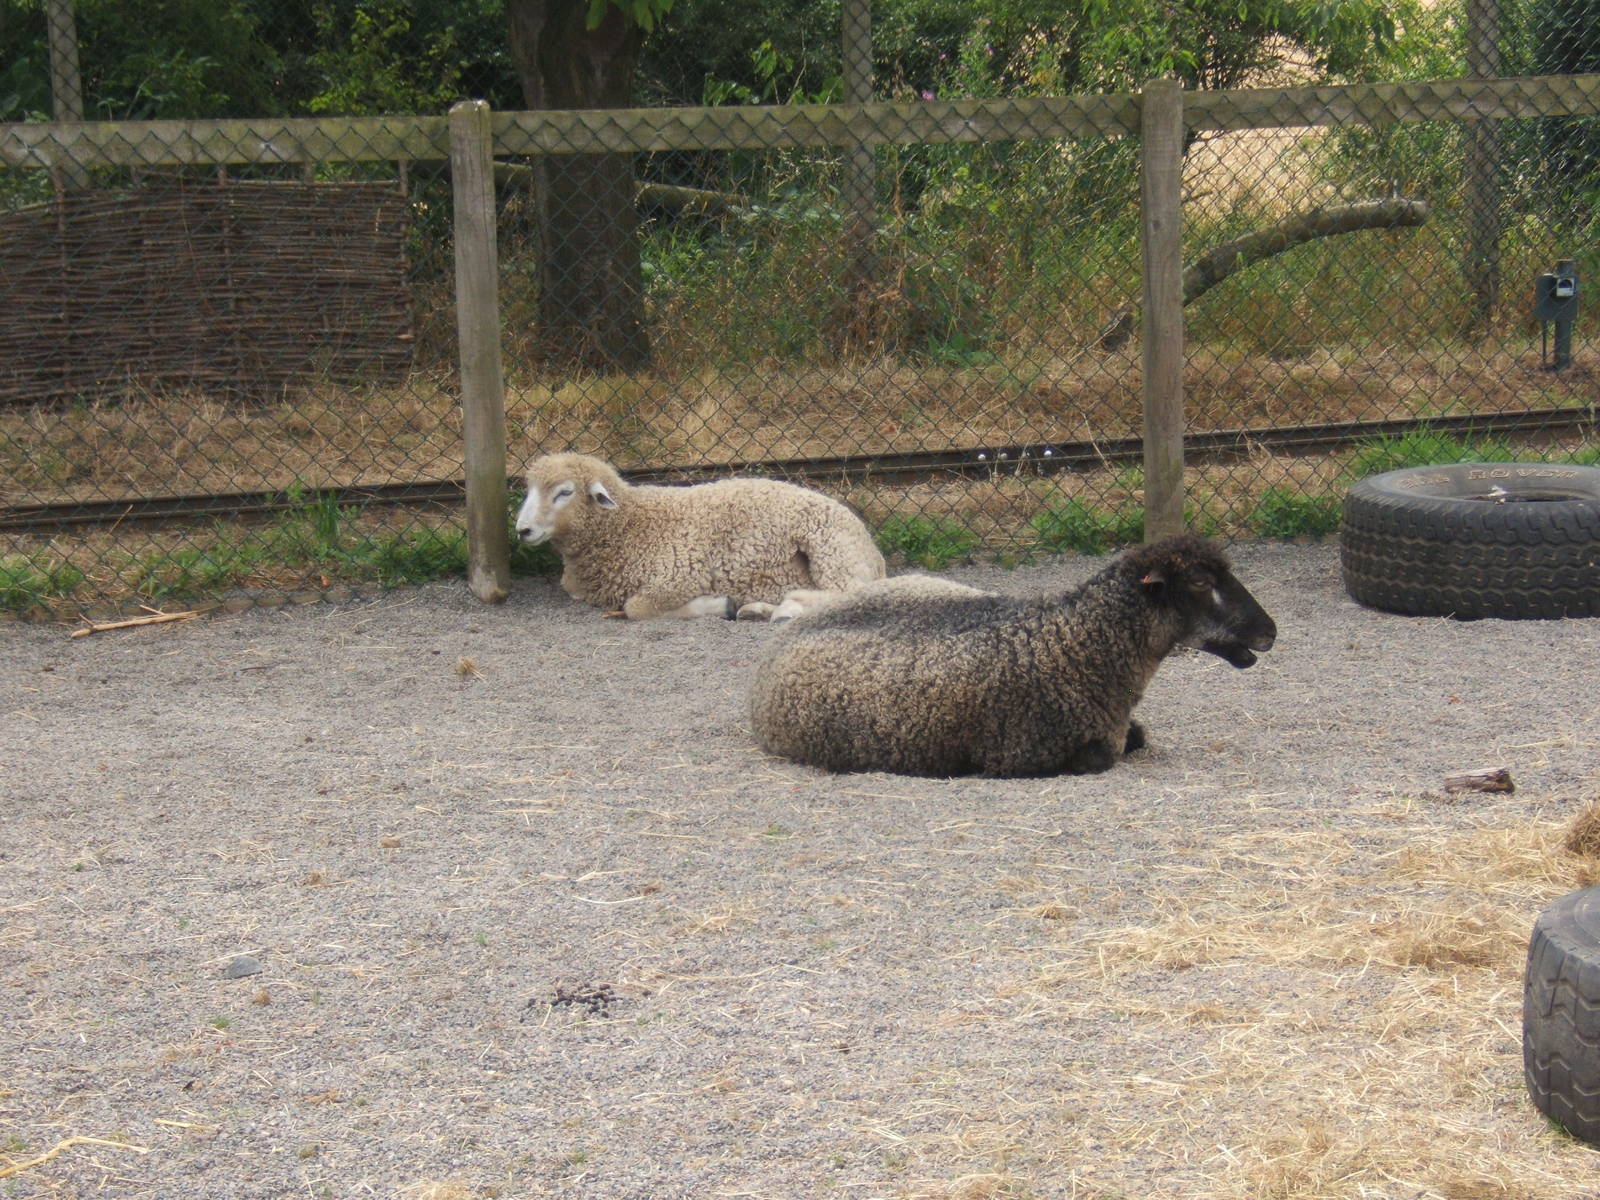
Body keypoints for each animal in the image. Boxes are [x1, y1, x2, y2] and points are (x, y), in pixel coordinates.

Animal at [515, 452, 886, 620]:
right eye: (529, 489)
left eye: (564, 492)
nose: (522, 530)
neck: (630, 524)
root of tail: (872, 549)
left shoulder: (677, 577)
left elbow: (637, 607)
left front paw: (718, 603)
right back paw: (759, 608)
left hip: (831, 547)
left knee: (851, 593)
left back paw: (786, 607)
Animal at [748, 534, 1277, 778]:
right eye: (1201, 583)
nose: (1269, 632)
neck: (1076, 642)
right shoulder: (1025, 753)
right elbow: (1104, 756)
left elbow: (1138, 736)